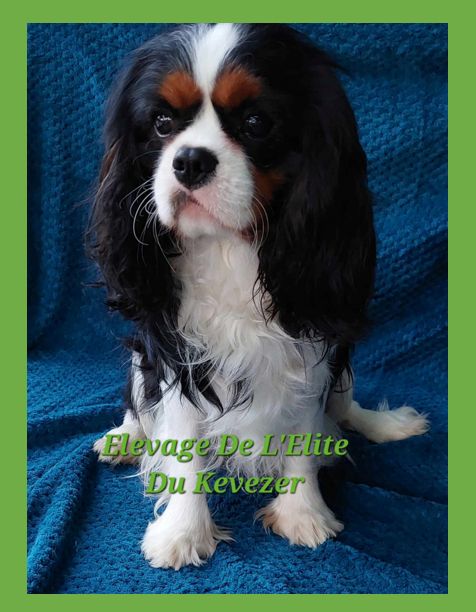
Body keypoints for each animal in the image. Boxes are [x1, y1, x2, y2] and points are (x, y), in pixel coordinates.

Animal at [90, 23, 429, 570]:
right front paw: (183, 532)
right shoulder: (178, 351)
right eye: (161, 123)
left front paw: (302, 513)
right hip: (144, 355)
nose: (189, 160)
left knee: (344, 404)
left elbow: (307, 430)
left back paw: (384, 424)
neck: (230, 247)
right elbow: (182, 438)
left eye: (255, 123)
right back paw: (124, 436)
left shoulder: (313, 348)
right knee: (138, 399)